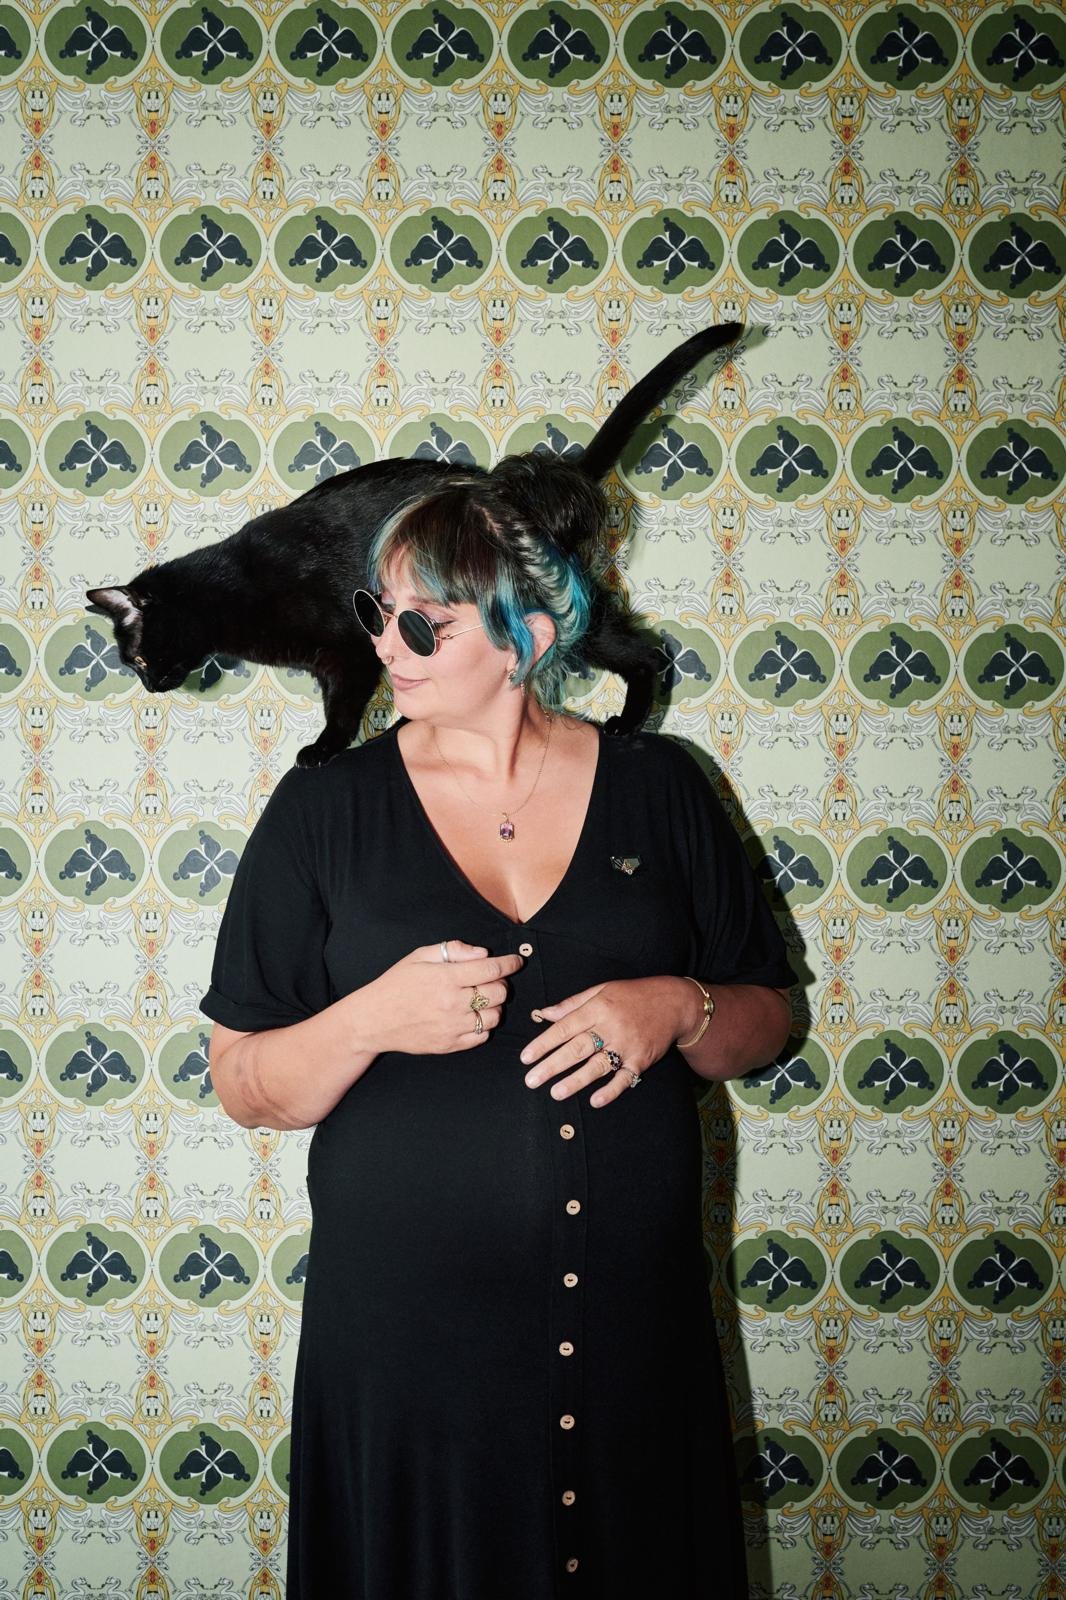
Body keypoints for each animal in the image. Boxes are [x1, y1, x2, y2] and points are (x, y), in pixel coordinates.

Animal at [86, 323, 740, 766]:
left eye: (137, 659)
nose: (149, 686)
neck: (231, 588)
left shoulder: (348, 650)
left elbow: (343, 710)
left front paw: (321, 749)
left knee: (648, 652)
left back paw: (629, 724)